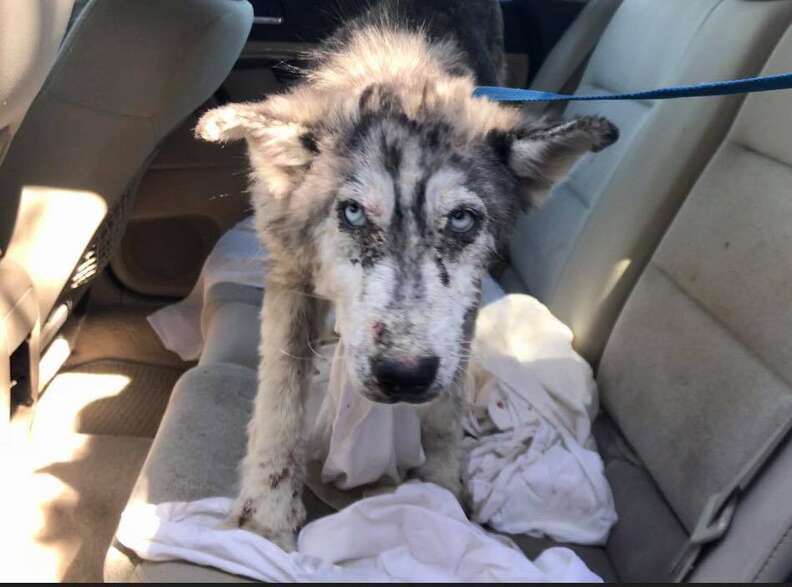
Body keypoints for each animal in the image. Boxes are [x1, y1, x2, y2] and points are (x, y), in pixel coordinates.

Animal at [195, 0, 616, 552]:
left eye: (461, 219)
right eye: (353, 213)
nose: (404, 375)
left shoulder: (465, 302)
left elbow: (445, 410)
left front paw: (441, 491)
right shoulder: (289, 274)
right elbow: (279, 398)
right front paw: (265, 513)